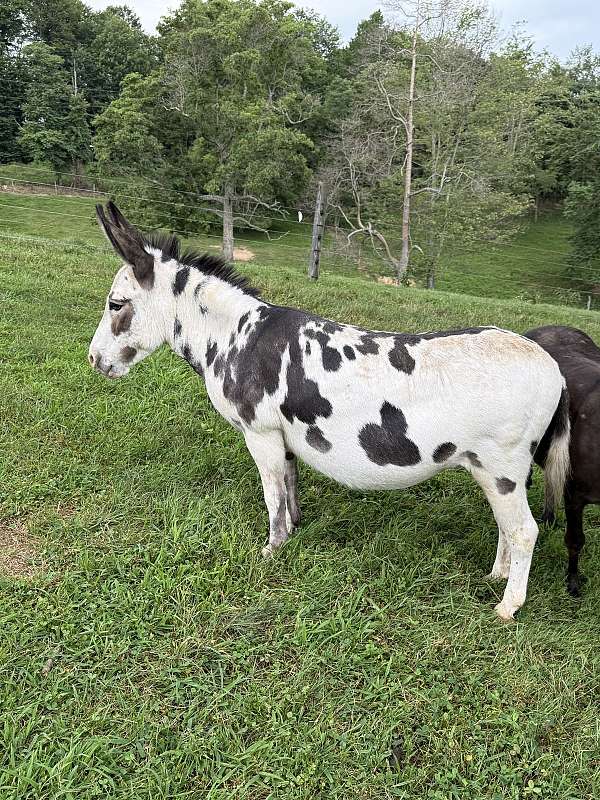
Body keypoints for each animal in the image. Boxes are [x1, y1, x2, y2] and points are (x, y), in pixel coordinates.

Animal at [89, 202, 570, 621]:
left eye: (115, 304)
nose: (93, 361)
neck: (236, 336)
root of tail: (554, 368)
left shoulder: (259, 433)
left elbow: (271, 493)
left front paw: (271, 550)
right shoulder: (282, 437)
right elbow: (289, 484)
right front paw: (294, 530)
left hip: (502, 467)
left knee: (524, 531)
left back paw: (508, 607)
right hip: (490, 470)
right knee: (507, 527)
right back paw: (497, 576)